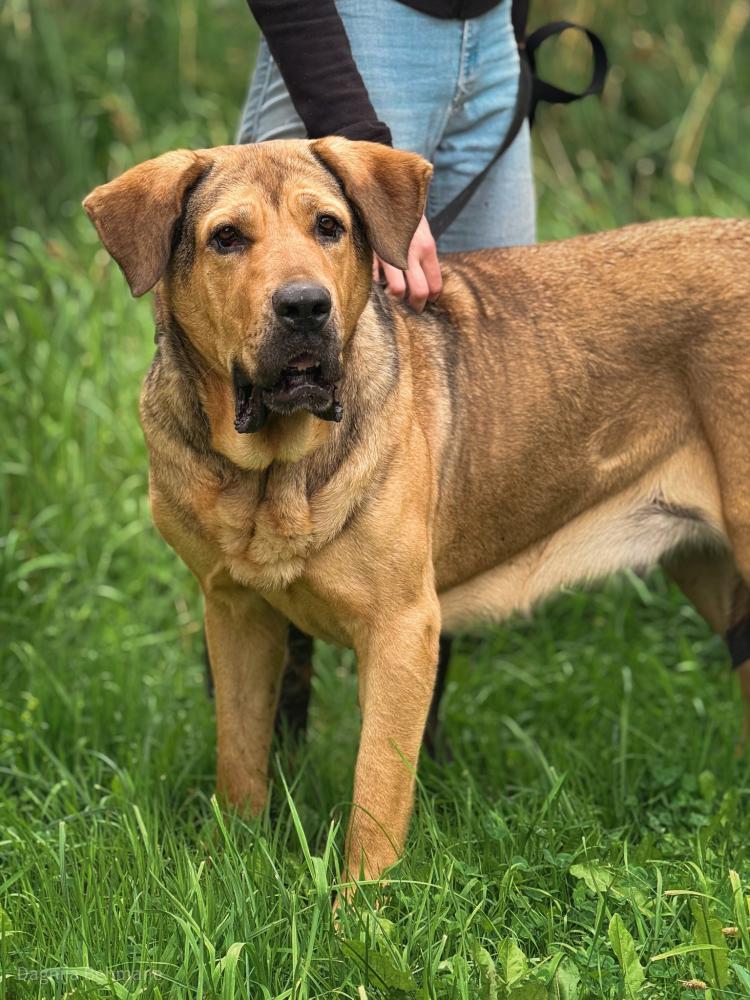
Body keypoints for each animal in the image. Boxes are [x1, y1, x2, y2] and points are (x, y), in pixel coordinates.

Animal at [84, 138, 750, 886]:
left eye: (329, 226)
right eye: (226, 238)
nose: (305, 307)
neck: (275, 474)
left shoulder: (401, 627)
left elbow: (376, 790)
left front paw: (359, 910)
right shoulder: (236, 613)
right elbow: (241, 755)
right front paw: (233, 863)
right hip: (712, 569)